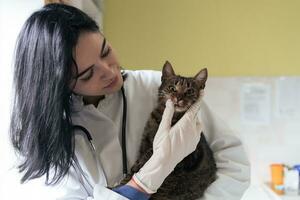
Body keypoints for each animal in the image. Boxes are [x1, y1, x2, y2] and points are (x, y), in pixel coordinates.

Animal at [123, 61, 217, 199]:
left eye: (189, 91)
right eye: (172, 88)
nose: (178, 98)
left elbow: (142, 163)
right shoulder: (144, 143)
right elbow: (138, 164)